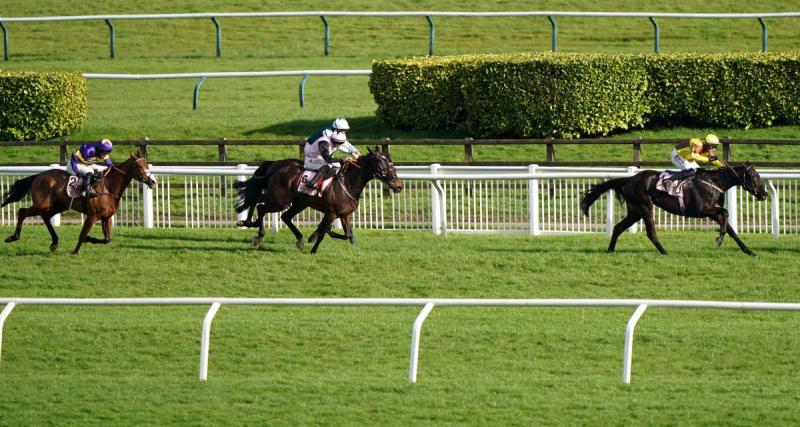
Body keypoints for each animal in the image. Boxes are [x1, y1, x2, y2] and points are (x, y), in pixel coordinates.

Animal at [1, 151, 158, 254]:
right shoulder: (92, 215)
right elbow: (83, 234)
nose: (153, 181)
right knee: (23, 212)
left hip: (59, 205)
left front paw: (90, 239)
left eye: (147, 165)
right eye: (139, 167)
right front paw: (75, 251)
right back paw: (13, 237)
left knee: (45, 216)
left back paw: (54, 242)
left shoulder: (106, 217)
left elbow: (107, 239)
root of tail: (38, 176)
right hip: (43, 204)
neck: (109, 188)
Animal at [234, 148, 404, 254]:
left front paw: (320, 235)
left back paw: (298, 239)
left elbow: (347, 234)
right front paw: (314, 248)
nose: (399, 186)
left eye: (393, 166)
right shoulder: (331, 213)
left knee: (281, 214)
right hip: (280, 200)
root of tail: (277, 168)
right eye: (382, 163)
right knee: (261, 206)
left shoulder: (344, 214)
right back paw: (256, 231)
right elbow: (323, 232)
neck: (348, 184)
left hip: (298, 202)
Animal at [580, 163, 768, 258]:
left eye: (759, 176)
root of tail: (630, 179)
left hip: (635, 211)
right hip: (645, 206)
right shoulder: (703, 210)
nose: (764, 194)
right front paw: (719, 238)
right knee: (650, 232)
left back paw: (610, 250)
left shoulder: (712, 211)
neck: (714, 182)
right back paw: (664, 252)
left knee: (618, 227)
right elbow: (726, 213)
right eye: (754, 177)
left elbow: (731, 229)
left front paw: (749, 251)